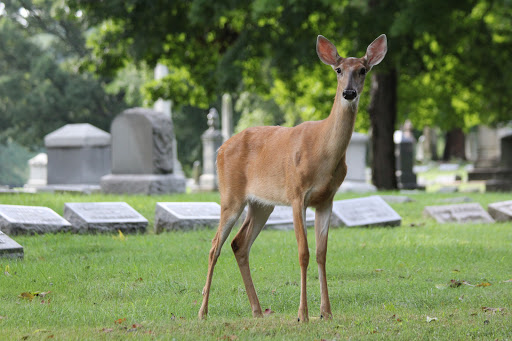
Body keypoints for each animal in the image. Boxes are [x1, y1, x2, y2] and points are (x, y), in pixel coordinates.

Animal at [198, 33, 386, 322]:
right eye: (338, 70)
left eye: (363, 70)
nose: (349, 92)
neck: (323, 151)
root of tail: (220, 148)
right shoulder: (297, 194)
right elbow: (303, 253)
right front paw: (303, 315)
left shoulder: (327, 199)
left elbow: (321, 253)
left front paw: (326, 312)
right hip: (231, 195)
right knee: (214, 245)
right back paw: (203, 311)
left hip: (262, 203)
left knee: (239, 243)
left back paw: (257, 310)